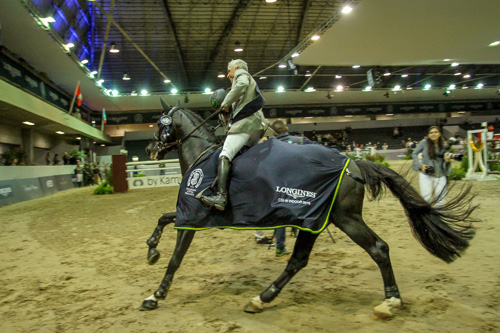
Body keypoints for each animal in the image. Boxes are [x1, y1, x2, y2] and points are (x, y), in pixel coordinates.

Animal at [141, 100, 476, 318]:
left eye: (159, 123)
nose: (149, 149)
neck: (204, 155)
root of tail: (352, 163)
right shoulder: (189, 215)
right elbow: (162, 219)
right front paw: (151, 248)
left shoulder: (192, 217)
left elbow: (175, 259)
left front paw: (155, 296)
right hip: (314, 221)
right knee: (297, 261)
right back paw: (261, 298)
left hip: (343, 218)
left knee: (378, 248)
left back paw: (389, 303)